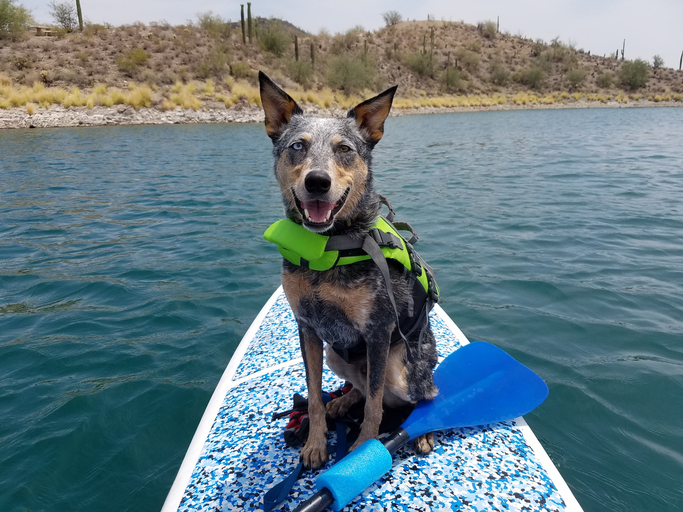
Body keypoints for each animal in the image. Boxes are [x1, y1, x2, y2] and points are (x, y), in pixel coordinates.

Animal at [260, 71, 440, 468]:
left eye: (345, 149)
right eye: (297, 146)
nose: (317, 182)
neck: (328, 248)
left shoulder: (377, 330)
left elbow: (374, 405)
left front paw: (361, 449)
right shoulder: (308, 327)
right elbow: (313, 394)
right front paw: (315, 444)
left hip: (401, 368)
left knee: (423, 393)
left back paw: (424, 428)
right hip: (335, 355)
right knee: (360, 387)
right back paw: (341, 402)